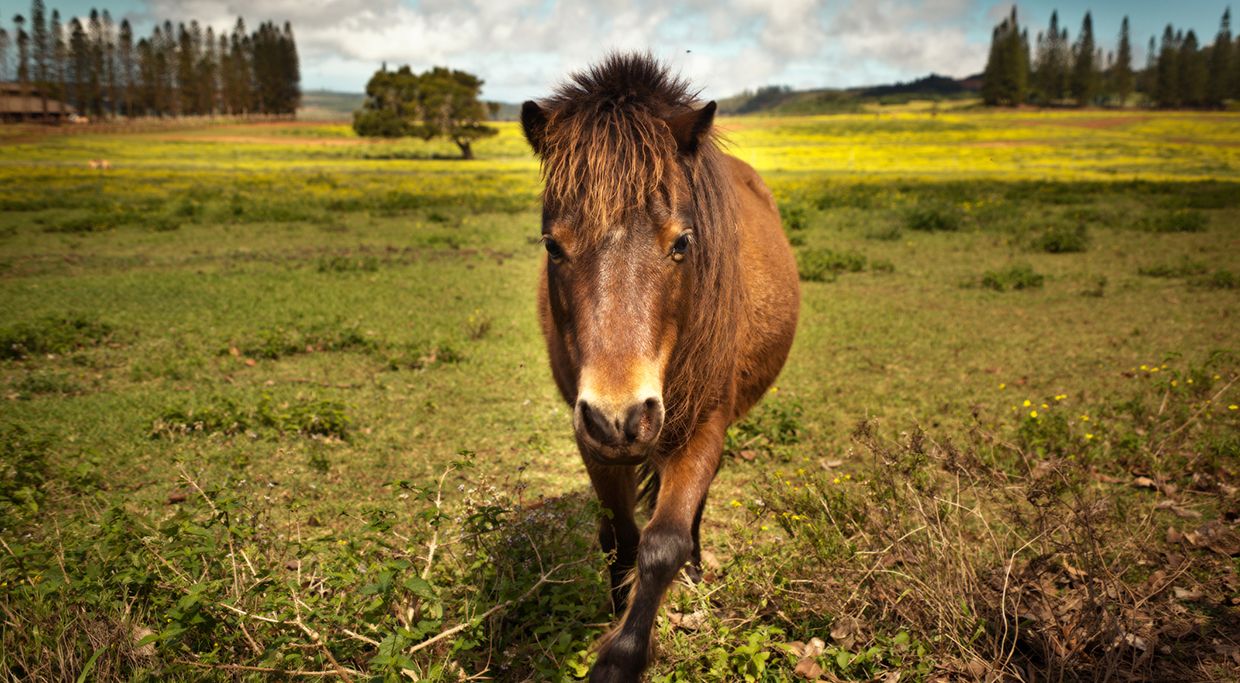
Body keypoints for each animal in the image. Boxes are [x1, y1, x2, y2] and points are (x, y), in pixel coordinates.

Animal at [520, 53, 800, 681]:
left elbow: (664, 542)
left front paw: (621, 656)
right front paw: (615, 611)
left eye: (682, 243)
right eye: (552, 246)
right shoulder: (593, 440)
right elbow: (622, 536)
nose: (622, 417)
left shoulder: (705, 422)